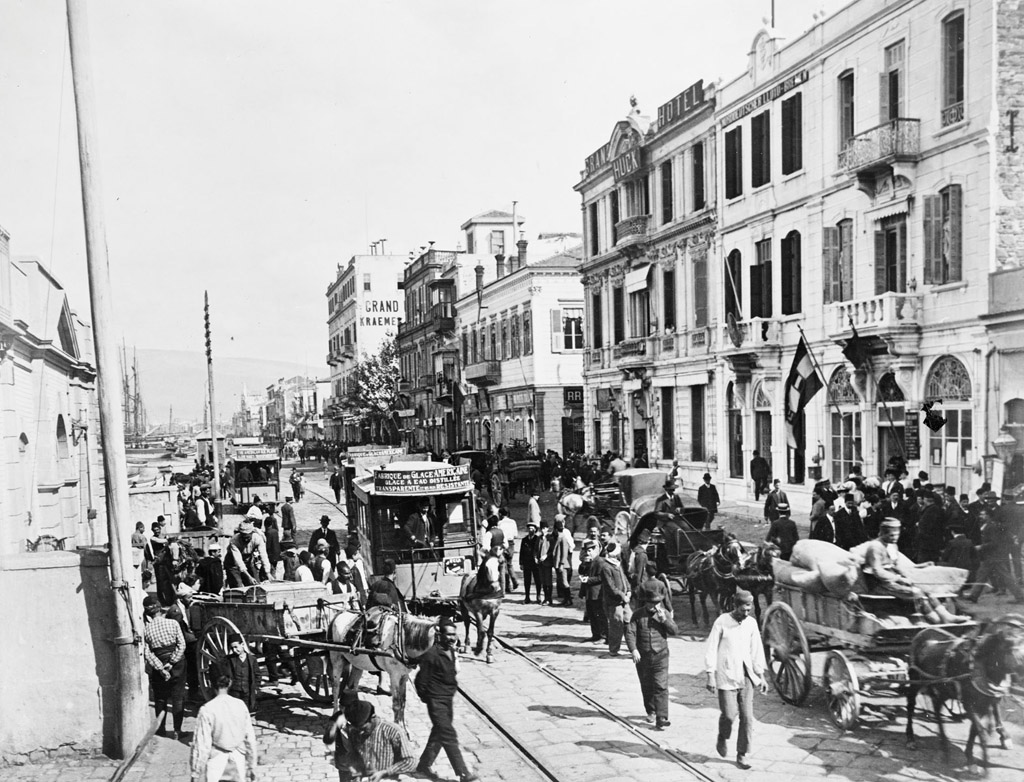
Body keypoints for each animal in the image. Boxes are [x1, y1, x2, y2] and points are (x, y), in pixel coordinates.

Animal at [909, 614, 1024, 773]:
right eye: (1009, 646)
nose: (1020, 675)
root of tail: (923, 631)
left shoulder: (984, 703)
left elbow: (975, 730)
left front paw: (970, 757)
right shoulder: (969, 703)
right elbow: (979, 730)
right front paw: (979, 762)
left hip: (941, 687)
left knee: (937, 708)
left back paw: (944, 745)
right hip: (915, 680)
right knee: (911, 705)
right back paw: (911, 738)